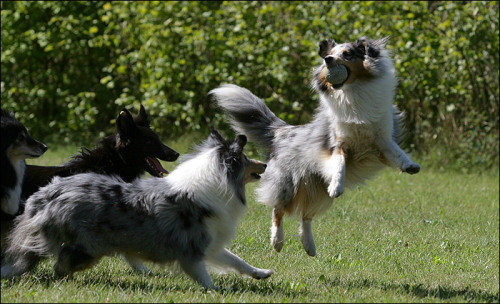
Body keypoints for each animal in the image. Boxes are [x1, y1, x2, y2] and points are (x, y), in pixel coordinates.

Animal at [0, 127, 274, 290]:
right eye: (246, 159)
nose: (265, 164)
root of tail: (44, 196)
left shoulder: (211, 243)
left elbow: (237, 260)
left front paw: (261, 273)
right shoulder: (192, 249)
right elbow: (204, 276)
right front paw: (217, 291)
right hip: (90, 247)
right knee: (61, 264)